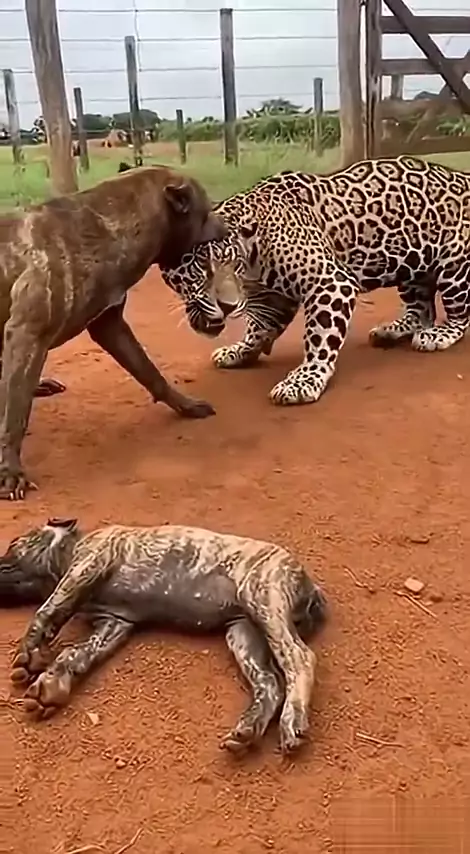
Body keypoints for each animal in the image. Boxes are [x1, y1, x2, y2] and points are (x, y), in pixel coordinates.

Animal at [160, 155, 470, 406]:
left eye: (234, 265)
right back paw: (392, 331)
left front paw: (304, 380)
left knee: (459, 316)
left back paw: (438, 335)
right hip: (412, 261)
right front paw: (240, 351)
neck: (254, 252)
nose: (228, 307)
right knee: (421, 310)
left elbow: (319, 336)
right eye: (201, 267)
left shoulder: (330, 282)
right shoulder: (274, 297)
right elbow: (260, 328)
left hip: (454, 265)